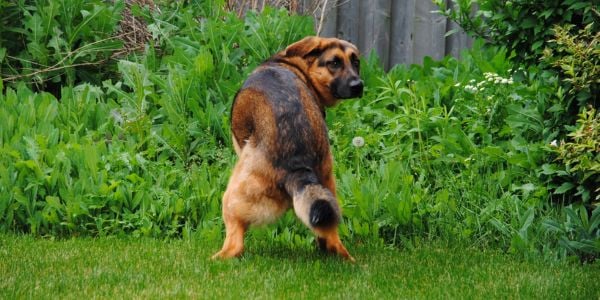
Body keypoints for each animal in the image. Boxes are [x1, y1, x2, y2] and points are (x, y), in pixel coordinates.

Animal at [213, 35, 364, 262]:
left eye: (355, 62)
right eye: (334, 63)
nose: (358, 85)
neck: (294, 65)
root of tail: (296, 162)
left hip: (232, 198)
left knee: (235, 245)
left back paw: (216, 258)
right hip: (327, 187)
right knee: (331, 235)